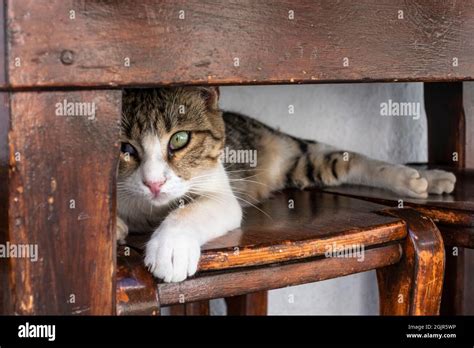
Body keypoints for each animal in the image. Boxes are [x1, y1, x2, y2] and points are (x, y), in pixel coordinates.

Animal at [117, 87, 456, 282]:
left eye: (179, 139)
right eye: (124, 148)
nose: (154, 183)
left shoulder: (219, 188)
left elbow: (193, 208)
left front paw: (170, 249)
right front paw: (118, 227)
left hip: (297, 153)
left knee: (351, 159)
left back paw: (424, 178)